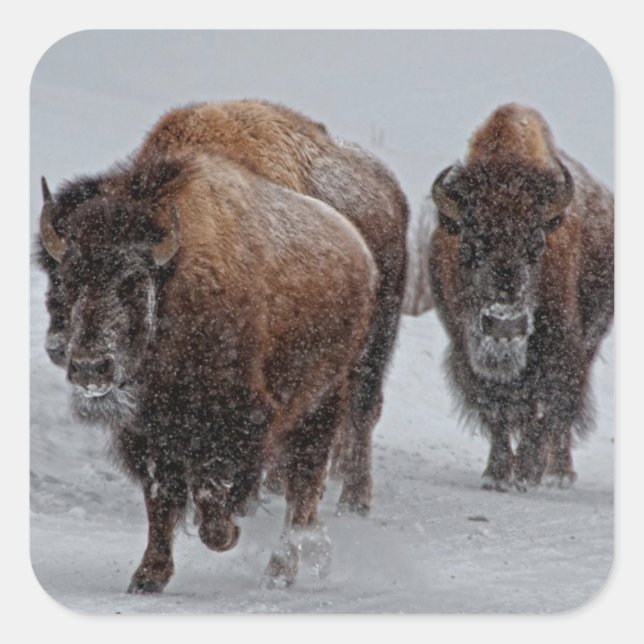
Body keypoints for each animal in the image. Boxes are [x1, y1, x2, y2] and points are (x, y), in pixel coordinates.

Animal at [428, 104, 613, 490]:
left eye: (537, 244)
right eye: (467, 247)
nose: (504, 325)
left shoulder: (561, 349)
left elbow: (543, 409)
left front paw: (527, 472)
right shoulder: (465, 349)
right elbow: (495, 409)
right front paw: (497, 475)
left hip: (590, 342)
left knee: (560, 415)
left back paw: (558, 472)